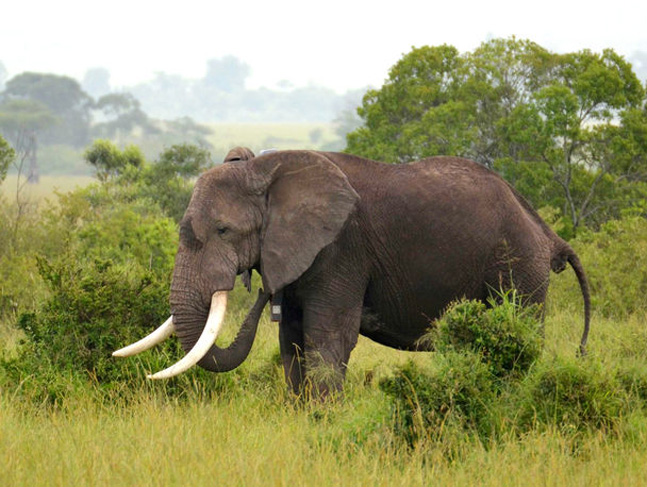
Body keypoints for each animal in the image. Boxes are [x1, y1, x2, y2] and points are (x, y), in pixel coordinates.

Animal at [114, 148, 590, 398]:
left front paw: (325, 422)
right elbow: (292, 342)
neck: (269, 168)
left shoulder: (342, 249)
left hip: (519, 269)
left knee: (519, 336)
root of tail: (547, 232)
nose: (261, 290)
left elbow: (328, 339)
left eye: (223, 230)